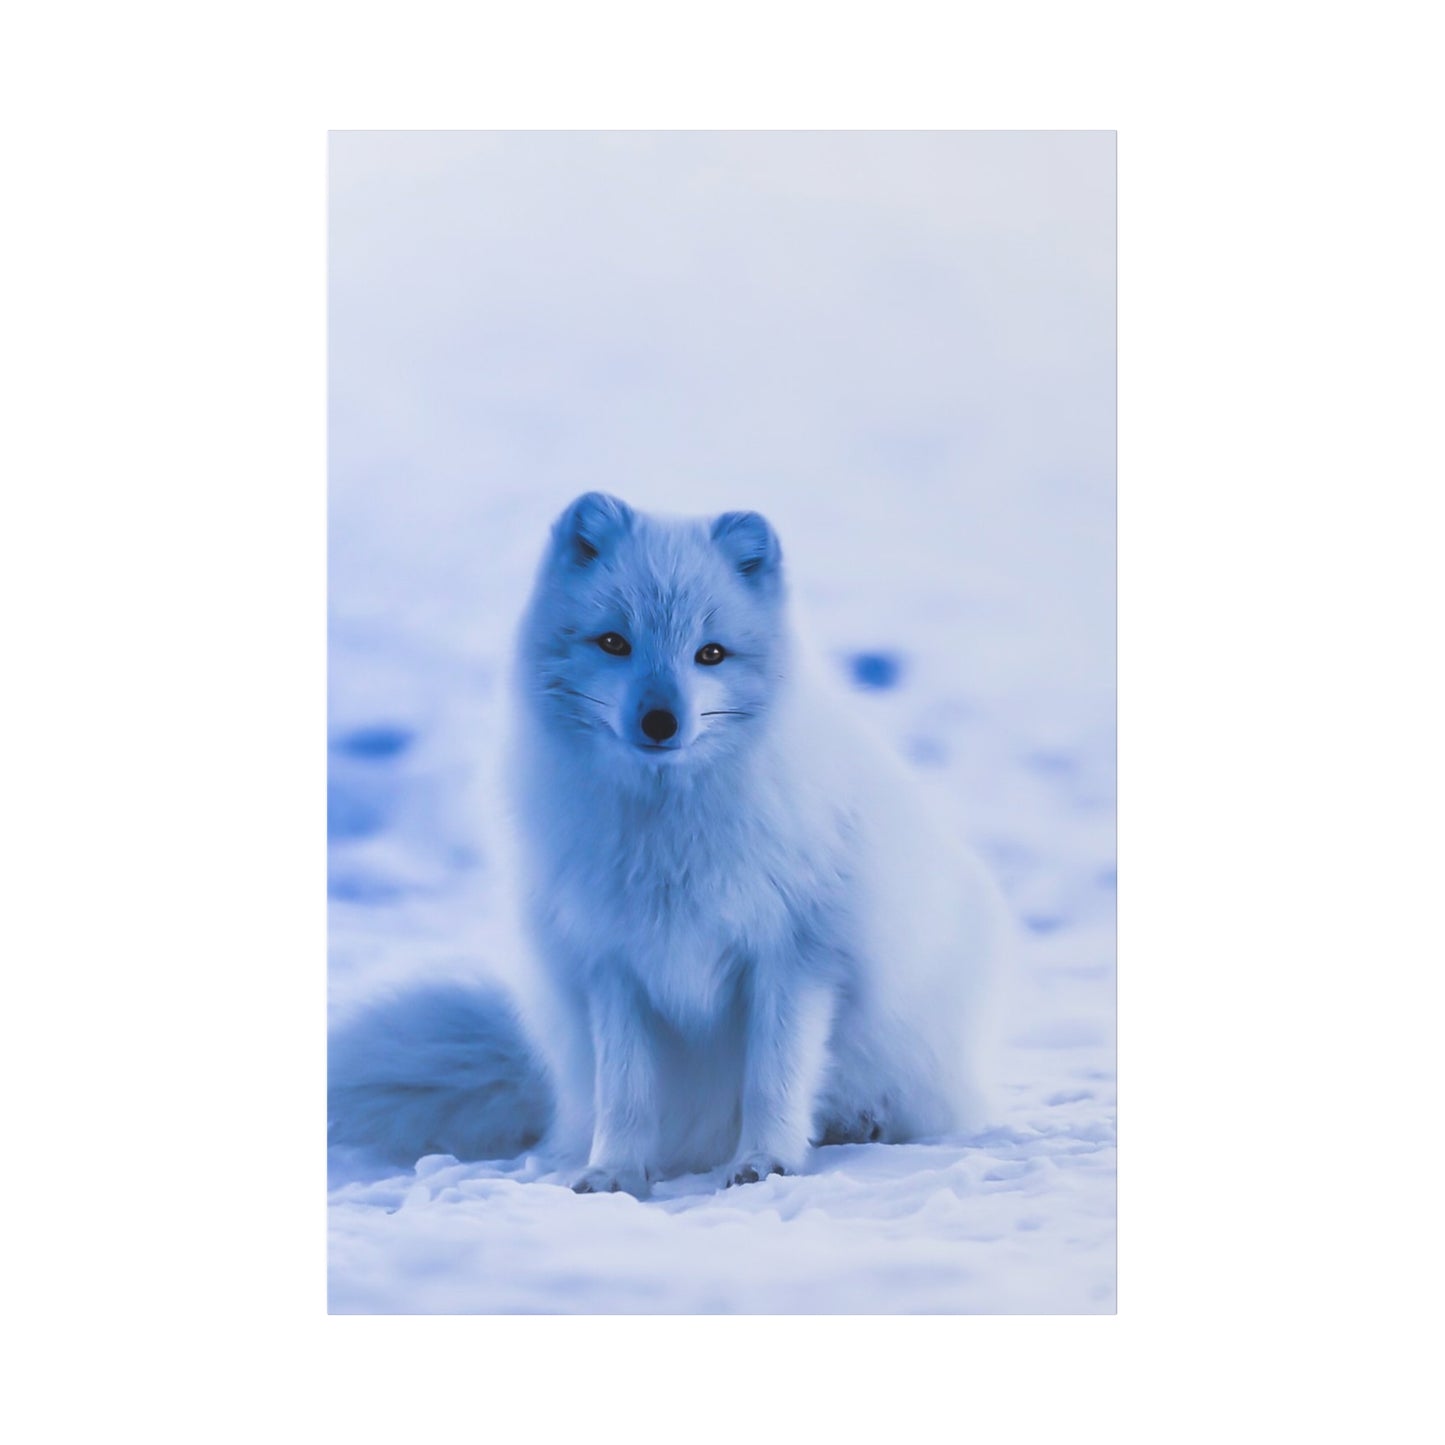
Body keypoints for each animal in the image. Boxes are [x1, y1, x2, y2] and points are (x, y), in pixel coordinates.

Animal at [508, 497, 1005, 1196]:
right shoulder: (612, 964)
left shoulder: (795, 957)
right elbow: (626, 1091)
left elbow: (775, 1077)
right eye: (613, 642)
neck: (670, 835)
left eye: (711, 653)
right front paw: (614, 1172)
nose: (660, 721)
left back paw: (862, 1123)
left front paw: (767, 1162)